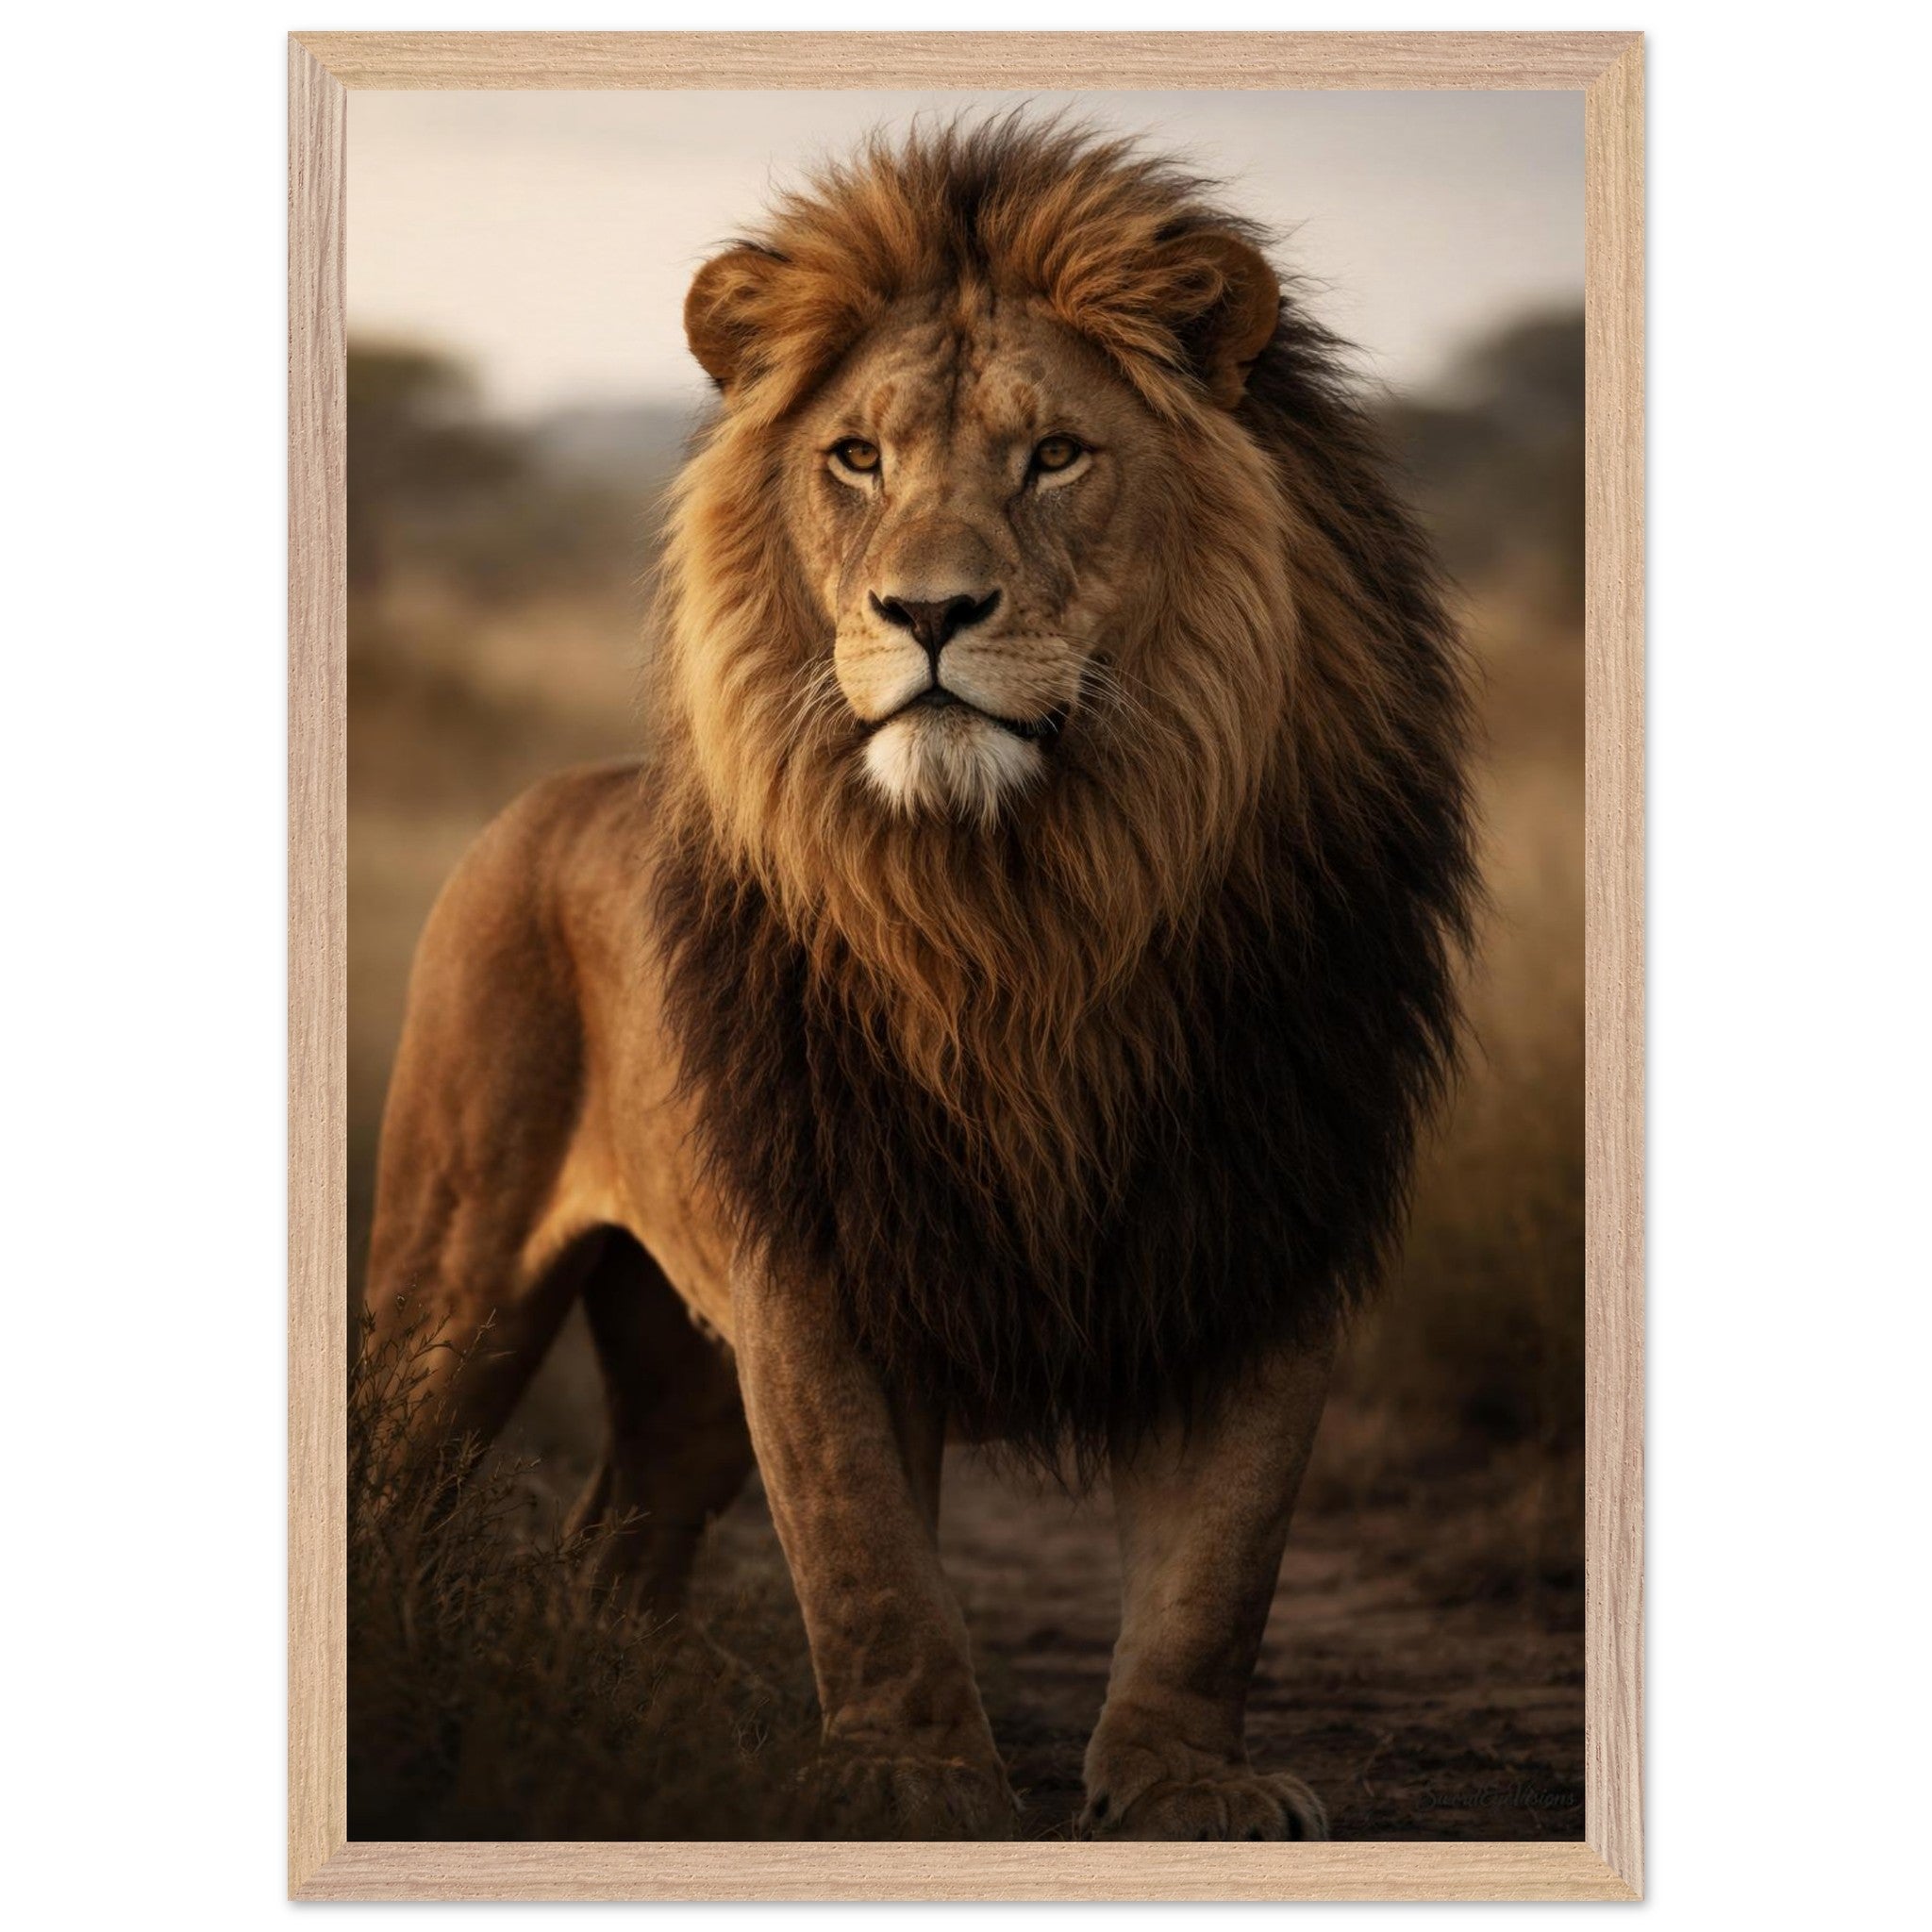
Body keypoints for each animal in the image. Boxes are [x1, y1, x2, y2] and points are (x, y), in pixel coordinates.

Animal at [366, 118, 1475, 1841]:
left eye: (1055, 456)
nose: (929, 611)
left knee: (617, 1537)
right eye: (858, 460)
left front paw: (1185, 1783)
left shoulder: (1263, 1229)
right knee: (393, 1484)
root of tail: (544, 799)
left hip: (679, 1361)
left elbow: (1220, 1564)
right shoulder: (815, 1255)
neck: (1021, 911)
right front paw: (906, 1775)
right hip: (453, 1274)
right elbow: (864, 1554)